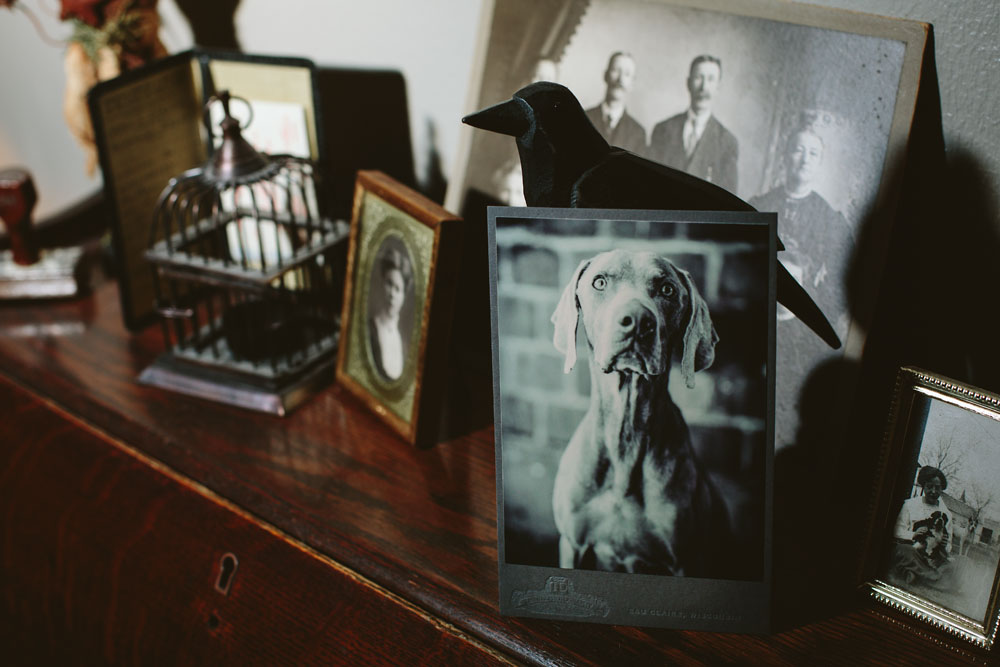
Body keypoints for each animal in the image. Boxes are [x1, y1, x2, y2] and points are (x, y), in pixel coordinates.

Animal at [552, 248, 732, 576]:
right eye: (599, 282)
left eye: (667, 289)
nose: (636, 321)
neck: (627, 430)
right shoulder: (571, 544)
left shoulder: (685, 560)